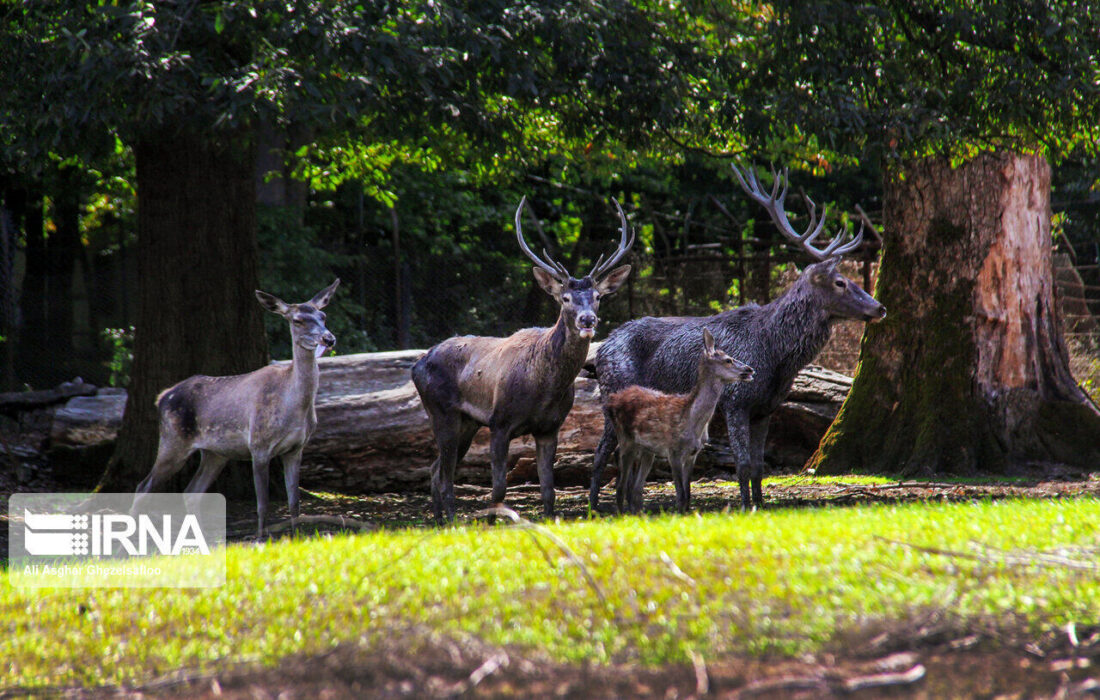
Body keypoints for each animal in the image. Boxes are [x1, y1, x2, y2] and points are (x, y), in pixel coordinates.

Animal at [132, 278, 338, 534]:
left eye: (323, 315)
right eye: (297, 320)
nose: (328, 339)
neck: (294, 407)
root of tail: (161, 397)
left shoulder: (296, 448)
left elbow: (294, 503)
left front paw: (297, 537)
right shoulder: (259, 444)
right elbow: (262, 504)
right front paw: (260, 538)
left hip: (215, 453)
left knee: (191, 491)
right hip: (173, 440)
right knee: (143, 487)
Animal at [607, 327, 752, 515]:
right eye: (728, 360)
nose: (750, 370)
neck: (692, 421)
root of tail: (611, 401)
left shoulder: (693, 453)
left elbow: (688, 494)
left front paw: (685, 513)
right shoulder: (673, 450)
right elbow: (681, 494)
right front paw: (678, 514)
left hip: (647, 450)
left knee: (636, 489)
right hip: (626, 439)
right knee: (621, 485)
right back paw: (622, 515)